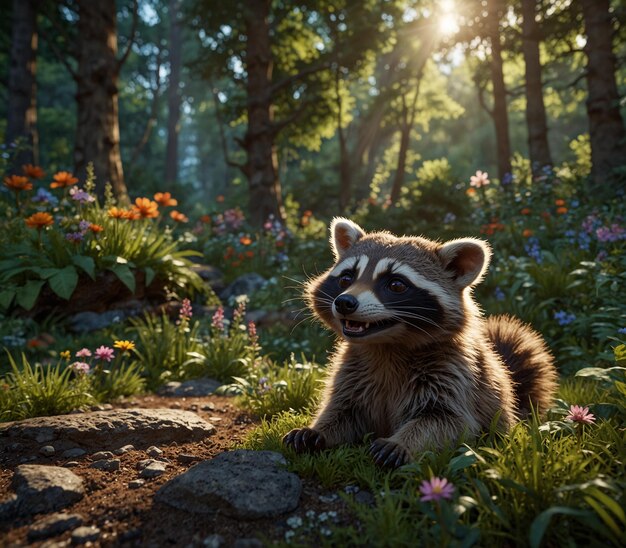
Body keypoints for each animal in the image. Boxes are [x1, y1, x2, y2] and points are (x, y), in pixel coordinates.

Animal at [282, 218, 556, 466]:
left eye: (395, 284)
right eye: (346, 279)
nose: (344, 302)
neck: (386, 345)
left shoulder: (455, 374)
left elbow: (449, 420)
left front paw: (402, 443)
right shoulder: (351, 370)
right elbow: (343, 411)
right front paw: (318, 430)